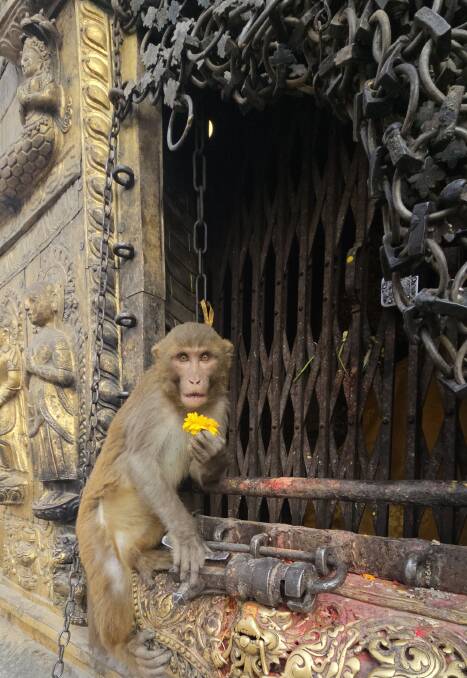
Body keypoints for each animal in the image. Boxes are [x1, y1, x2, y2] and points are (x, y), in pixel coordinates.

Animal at [76, 322, 233, 677]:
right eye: (183, 358)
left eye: (205, 357)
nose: (195, 380)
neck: (177, 403)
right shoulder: (151, 404)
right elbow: (140, 463)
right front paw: (188, 538)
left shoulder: (218, 409)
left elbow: (199, 475)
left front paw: (213, 454)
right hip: (93, 528)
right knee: (113, 576)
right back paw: (121, 650)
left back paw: (141, 557)